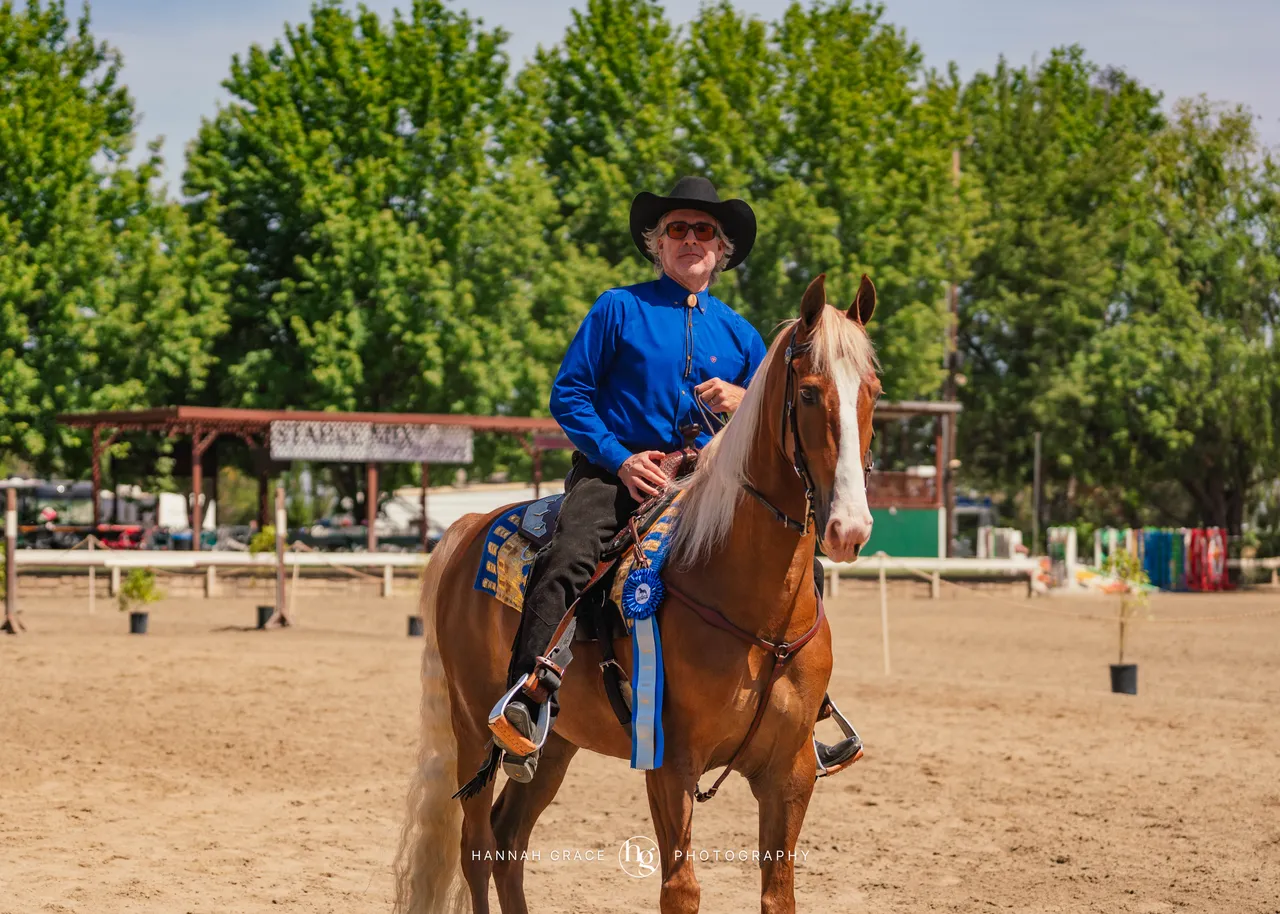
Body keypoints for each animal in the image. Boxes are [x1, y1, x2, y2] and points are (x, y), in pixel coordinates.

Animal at [395, 273, 881, 914]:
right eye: (806, 392)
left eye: (873, 392)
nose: (850, 526)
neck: (757, 615)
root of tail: (471, 526)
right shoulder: (670, 763)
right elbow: (681, 889)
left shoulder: (790, 773)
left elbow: (778, 895)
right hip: (473, 725)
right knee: (477, 846)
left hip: (554, 745)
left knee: (508, 838)